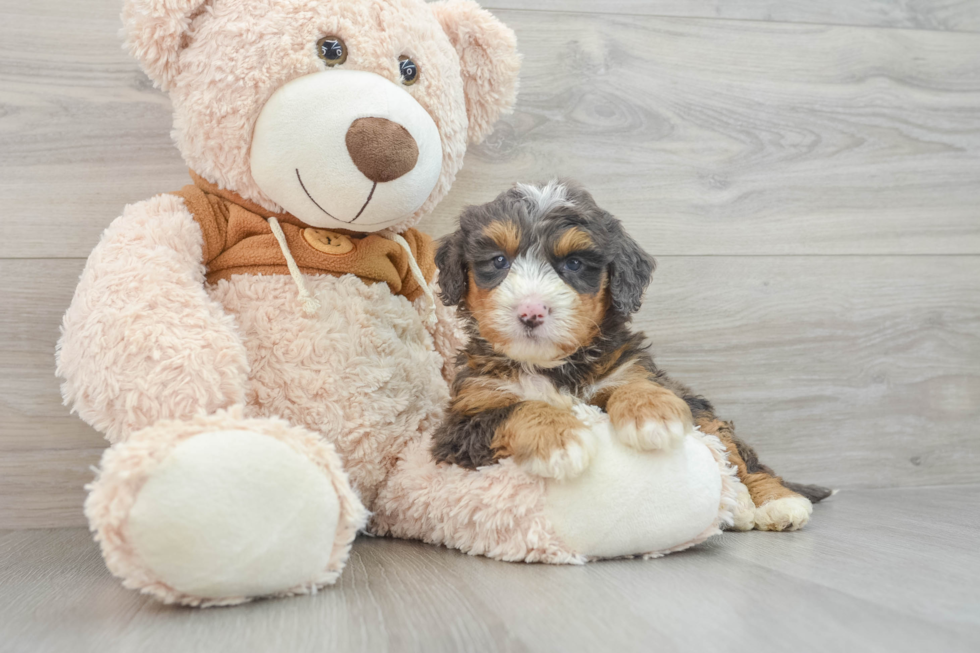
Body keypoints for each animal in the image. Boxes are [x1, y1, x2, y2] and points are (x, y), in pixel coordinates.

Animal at [432, 180, 832, 528]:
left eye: (573, 264)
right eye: (499, 261)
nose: (532, 311)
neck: (552, 368)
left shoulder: (628, 368)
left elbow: (635, 384)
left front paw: (652, 414)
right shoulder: (461, 424)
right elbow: (519, 408)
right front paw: (560, 441)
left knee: (736, 454)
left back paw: (774, 502)